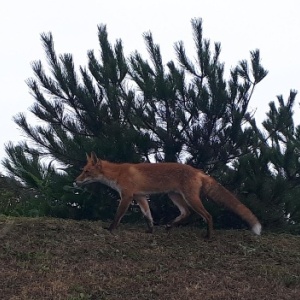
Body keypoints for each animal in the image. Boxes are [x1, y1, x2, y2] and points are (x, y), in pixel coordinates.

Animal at [74, 154, 260, 238]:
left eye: (86, 172)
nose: (76, 181)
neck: (117, 173)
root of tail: (198, 171)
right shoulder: (140, 197)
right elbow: (148, 216)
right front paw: (150, 231)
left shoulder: (127, 196)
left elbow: (118, 215)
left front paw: (111, 229)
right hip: (174, 196)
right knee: (186, 213)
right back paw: (170, 226)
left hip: (190, 198)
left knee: (207, 215)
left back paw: (208, 236)